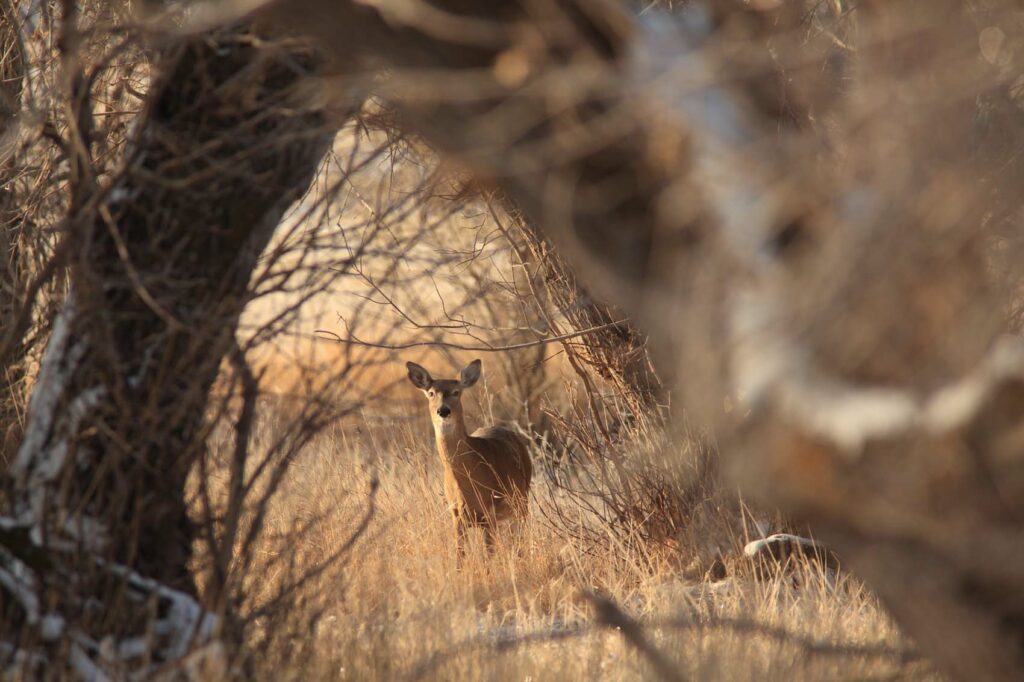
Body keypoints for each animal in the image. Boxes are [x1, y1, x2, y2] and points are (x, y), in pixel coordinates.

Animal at [403, 356, 532, 557]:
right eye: (431, 393)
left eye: (456, 392)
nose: (443, 410)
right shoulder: (456, 515)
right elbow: (460, 556)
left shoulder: (489, 512)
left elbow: (489, 556)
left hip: (521, 501)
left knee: (520, 539)